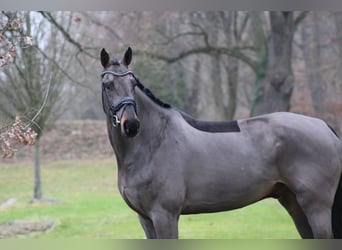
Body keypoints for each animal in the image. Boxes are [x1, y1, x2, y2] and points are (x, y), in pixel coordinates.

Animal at [99, 46, 342, 238]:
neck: (153, 141)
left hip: (316, 207)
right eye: (108, 84)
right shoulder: (145, 218)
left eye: (133, 83)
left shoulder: (164, 215)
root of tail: (325, 127)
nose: (131, 125)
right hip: (294, 203)